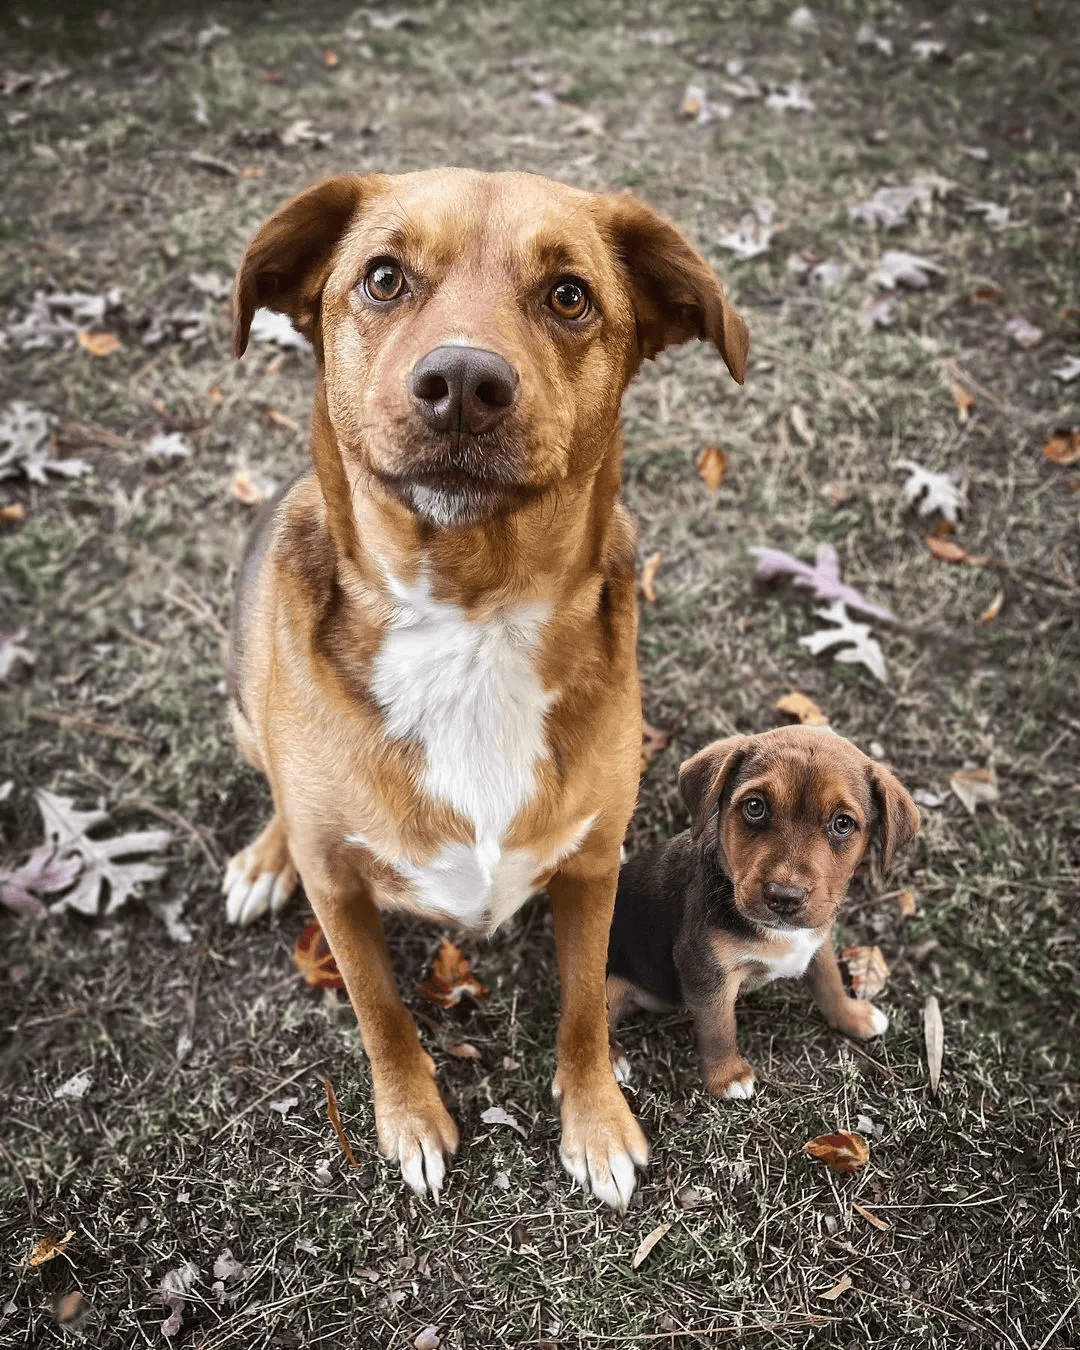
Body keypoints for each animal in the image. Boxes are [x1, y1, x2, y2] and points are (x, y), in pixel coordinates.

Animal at [224, 168, 745, 1215]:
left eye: (570, 294)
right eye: (383, 277)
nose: (462, 383)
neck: (469, 617)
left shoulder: (592, 865)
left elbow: (584, 1009)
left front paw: (595, 1122)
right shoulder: (340, 892)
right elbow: (381, 1011)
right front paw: (412, 1119)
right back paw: (264, 859)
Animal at [607, 729, 918, 1096]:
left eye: (843, 824)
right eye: (755, 807)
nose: (785, 898)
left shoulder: (818, 942)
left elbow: (831, 984)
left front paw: (852, 1017)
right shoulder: (705, 970)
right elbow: (718, 1028)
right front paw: (727, 1077)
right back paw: (611, 1059)